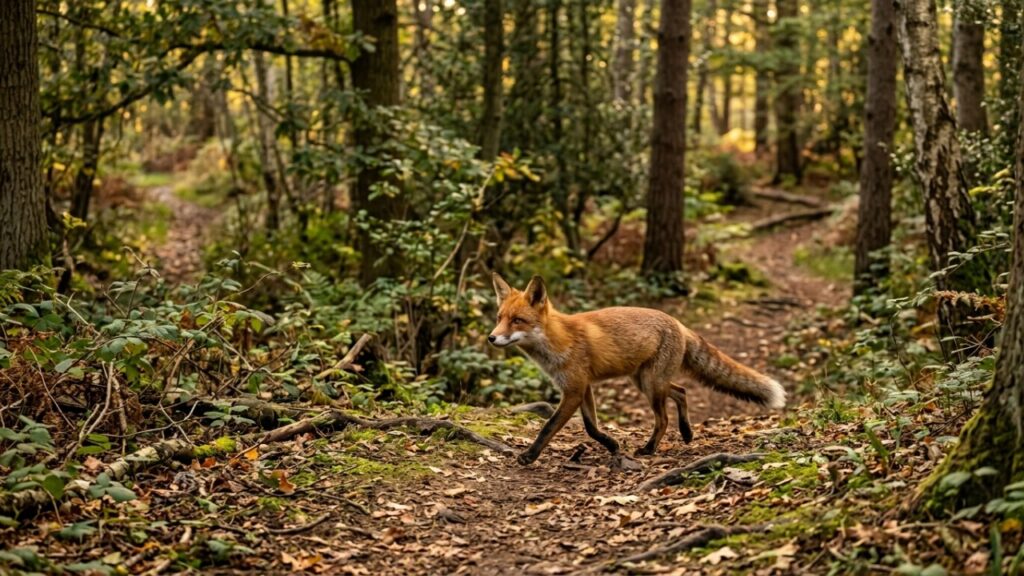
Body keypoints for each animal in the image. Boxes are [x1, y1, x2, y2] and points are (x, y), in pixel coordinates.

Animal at [488, 273, 786, 466]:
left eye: (518, 320)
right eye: (499, 318)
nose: (491, 338)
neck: (557, 340)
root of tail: (678, 323)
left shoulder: (573, 389)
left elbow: (549, 427)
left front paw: (529, 456)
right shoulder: (582, 387)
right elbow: (591, 428)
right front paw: (611, 444)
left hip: (651, 384)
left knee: (663, 417)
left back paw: (650, 448)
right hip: (645, 381)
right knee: (681, 391)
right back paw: (687, 432)